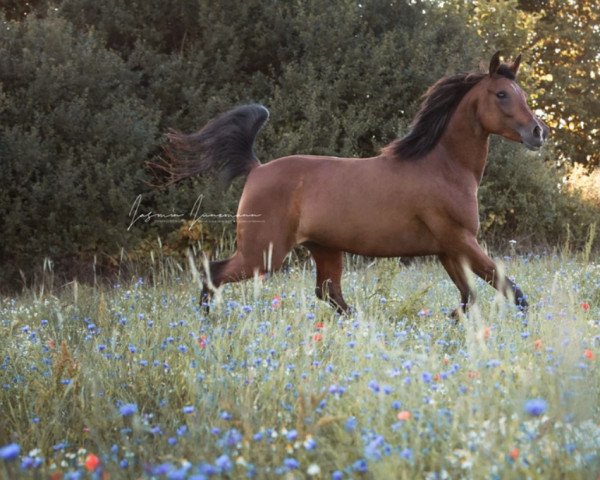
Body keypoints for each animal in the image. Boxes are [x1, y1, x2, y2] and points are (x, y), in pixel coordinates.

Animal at [156, 52, 548, 316]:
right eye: (501, 94)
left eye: (521, 92)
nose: (538, 132)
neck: (444, 166)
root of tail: (256, 168)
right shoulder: (460, 241)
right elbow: (511, 291)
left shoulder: (448, 249)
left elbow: (470, 296)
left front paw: (453, 320)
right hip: (263, 254)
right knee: (214, 273)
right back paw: (207, 324)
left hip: (325, 249)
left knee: (329, 293)